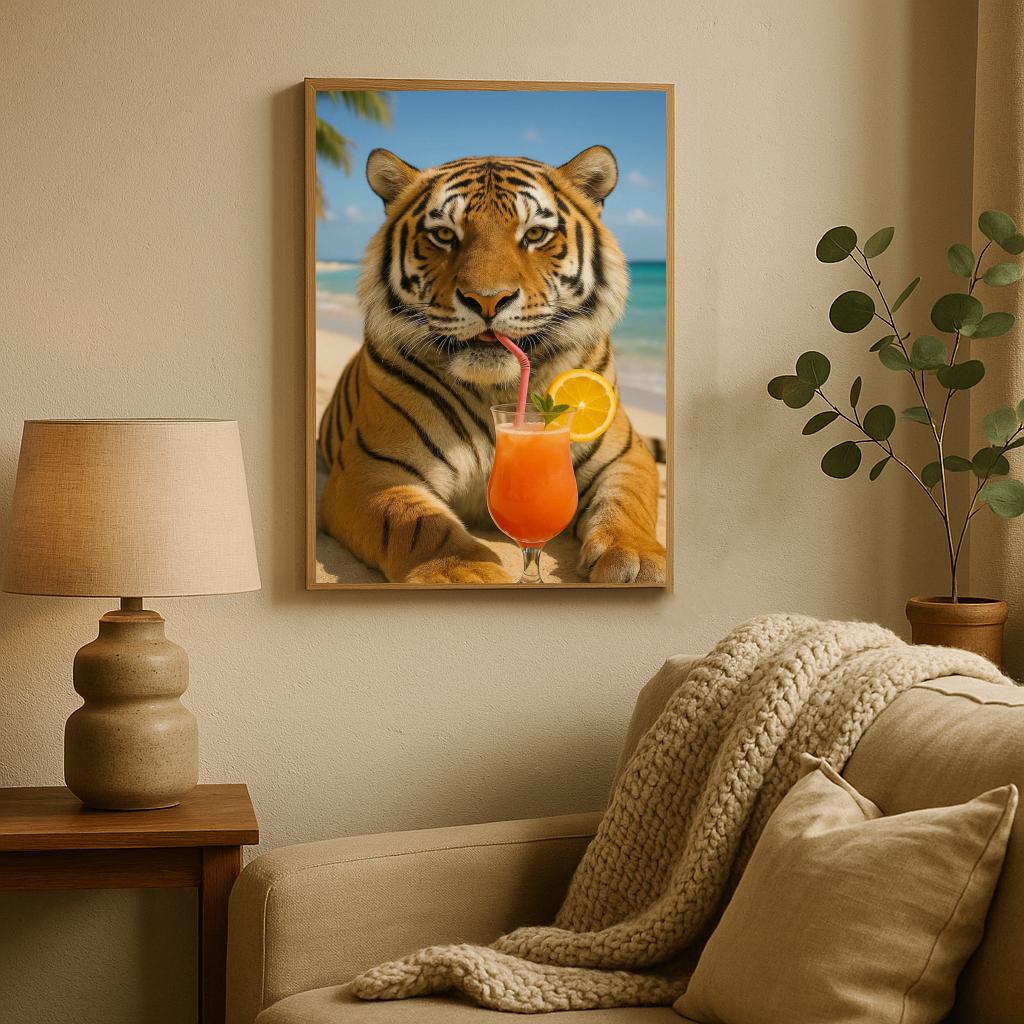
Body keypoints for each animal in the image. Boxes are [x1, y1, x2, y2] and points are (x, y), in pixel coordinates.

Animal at [317, 144, 666, 585]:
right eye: (444, 235)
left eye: (534, 234)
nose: (486, 300)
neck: (498, 390)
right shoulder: (371, 470)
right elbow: (417, 524)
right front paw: (462, 573)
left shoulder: (623, 455)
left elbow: (626, 501)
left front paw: (635, 557)